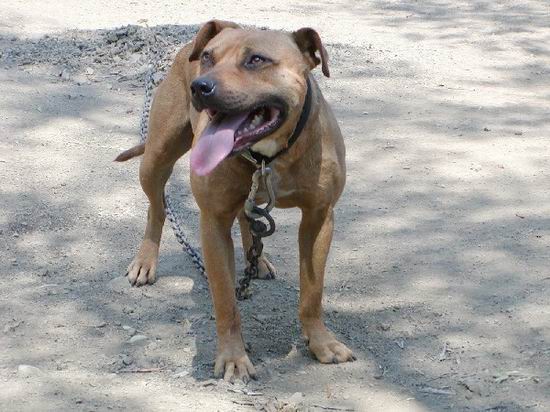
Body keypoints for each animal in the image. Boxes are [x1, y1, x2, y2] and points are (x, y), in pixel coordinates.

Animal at [116, 20, 354, 382]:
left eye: (256, 60)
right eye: (208, 58)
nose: (200, 87)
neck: (266, 156)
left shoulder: (319, 216)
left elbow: (312, 292)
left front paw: (321, 342)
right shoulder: (213, 222)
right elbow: (226, 299)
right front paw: (233, 357)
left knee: (247, 216)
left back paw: (258, 259)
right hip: (155, 159)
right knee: (157, 207)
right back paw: (145, 261)